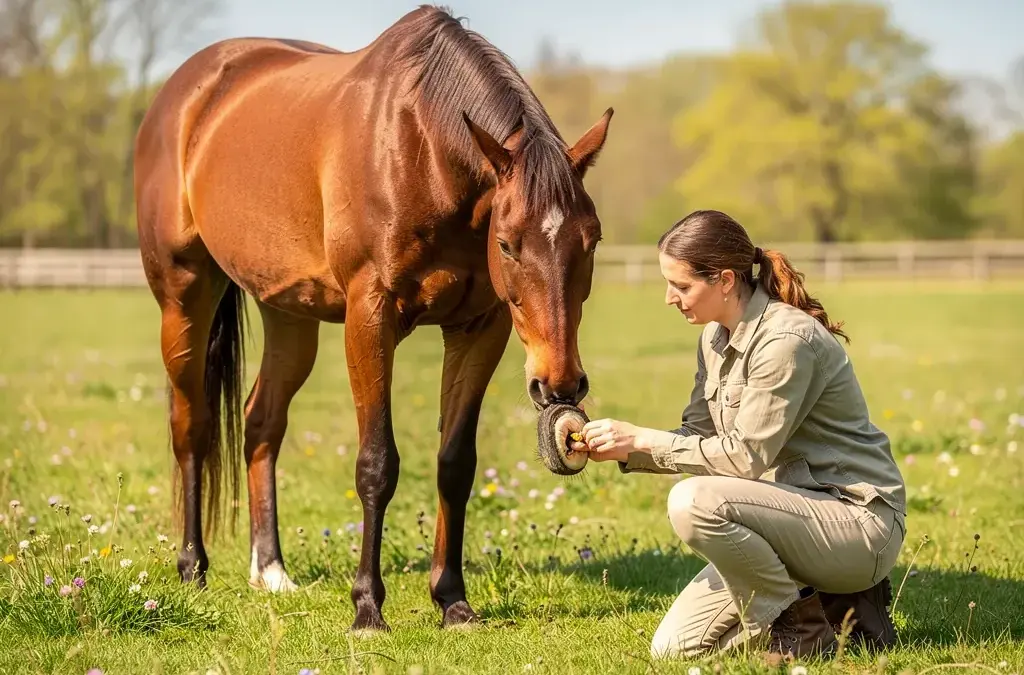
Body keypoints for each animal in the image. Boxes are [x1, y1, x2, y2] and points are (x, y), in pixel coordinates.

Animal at [133, 4, 613, 632]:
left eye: (592, 241)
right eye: (508, 245)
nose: (559, 384)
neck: (421, 148)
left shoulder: (480, 328)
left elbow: (455, 464)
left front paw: (452, 600)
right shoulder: (371, 318)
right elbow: (377, 464)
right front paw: (366, 606)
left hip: (289, 313)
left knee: (261, 422)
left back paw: (271, 571)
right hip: (184, 295)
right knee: (192, 427)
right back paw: (193, 567)